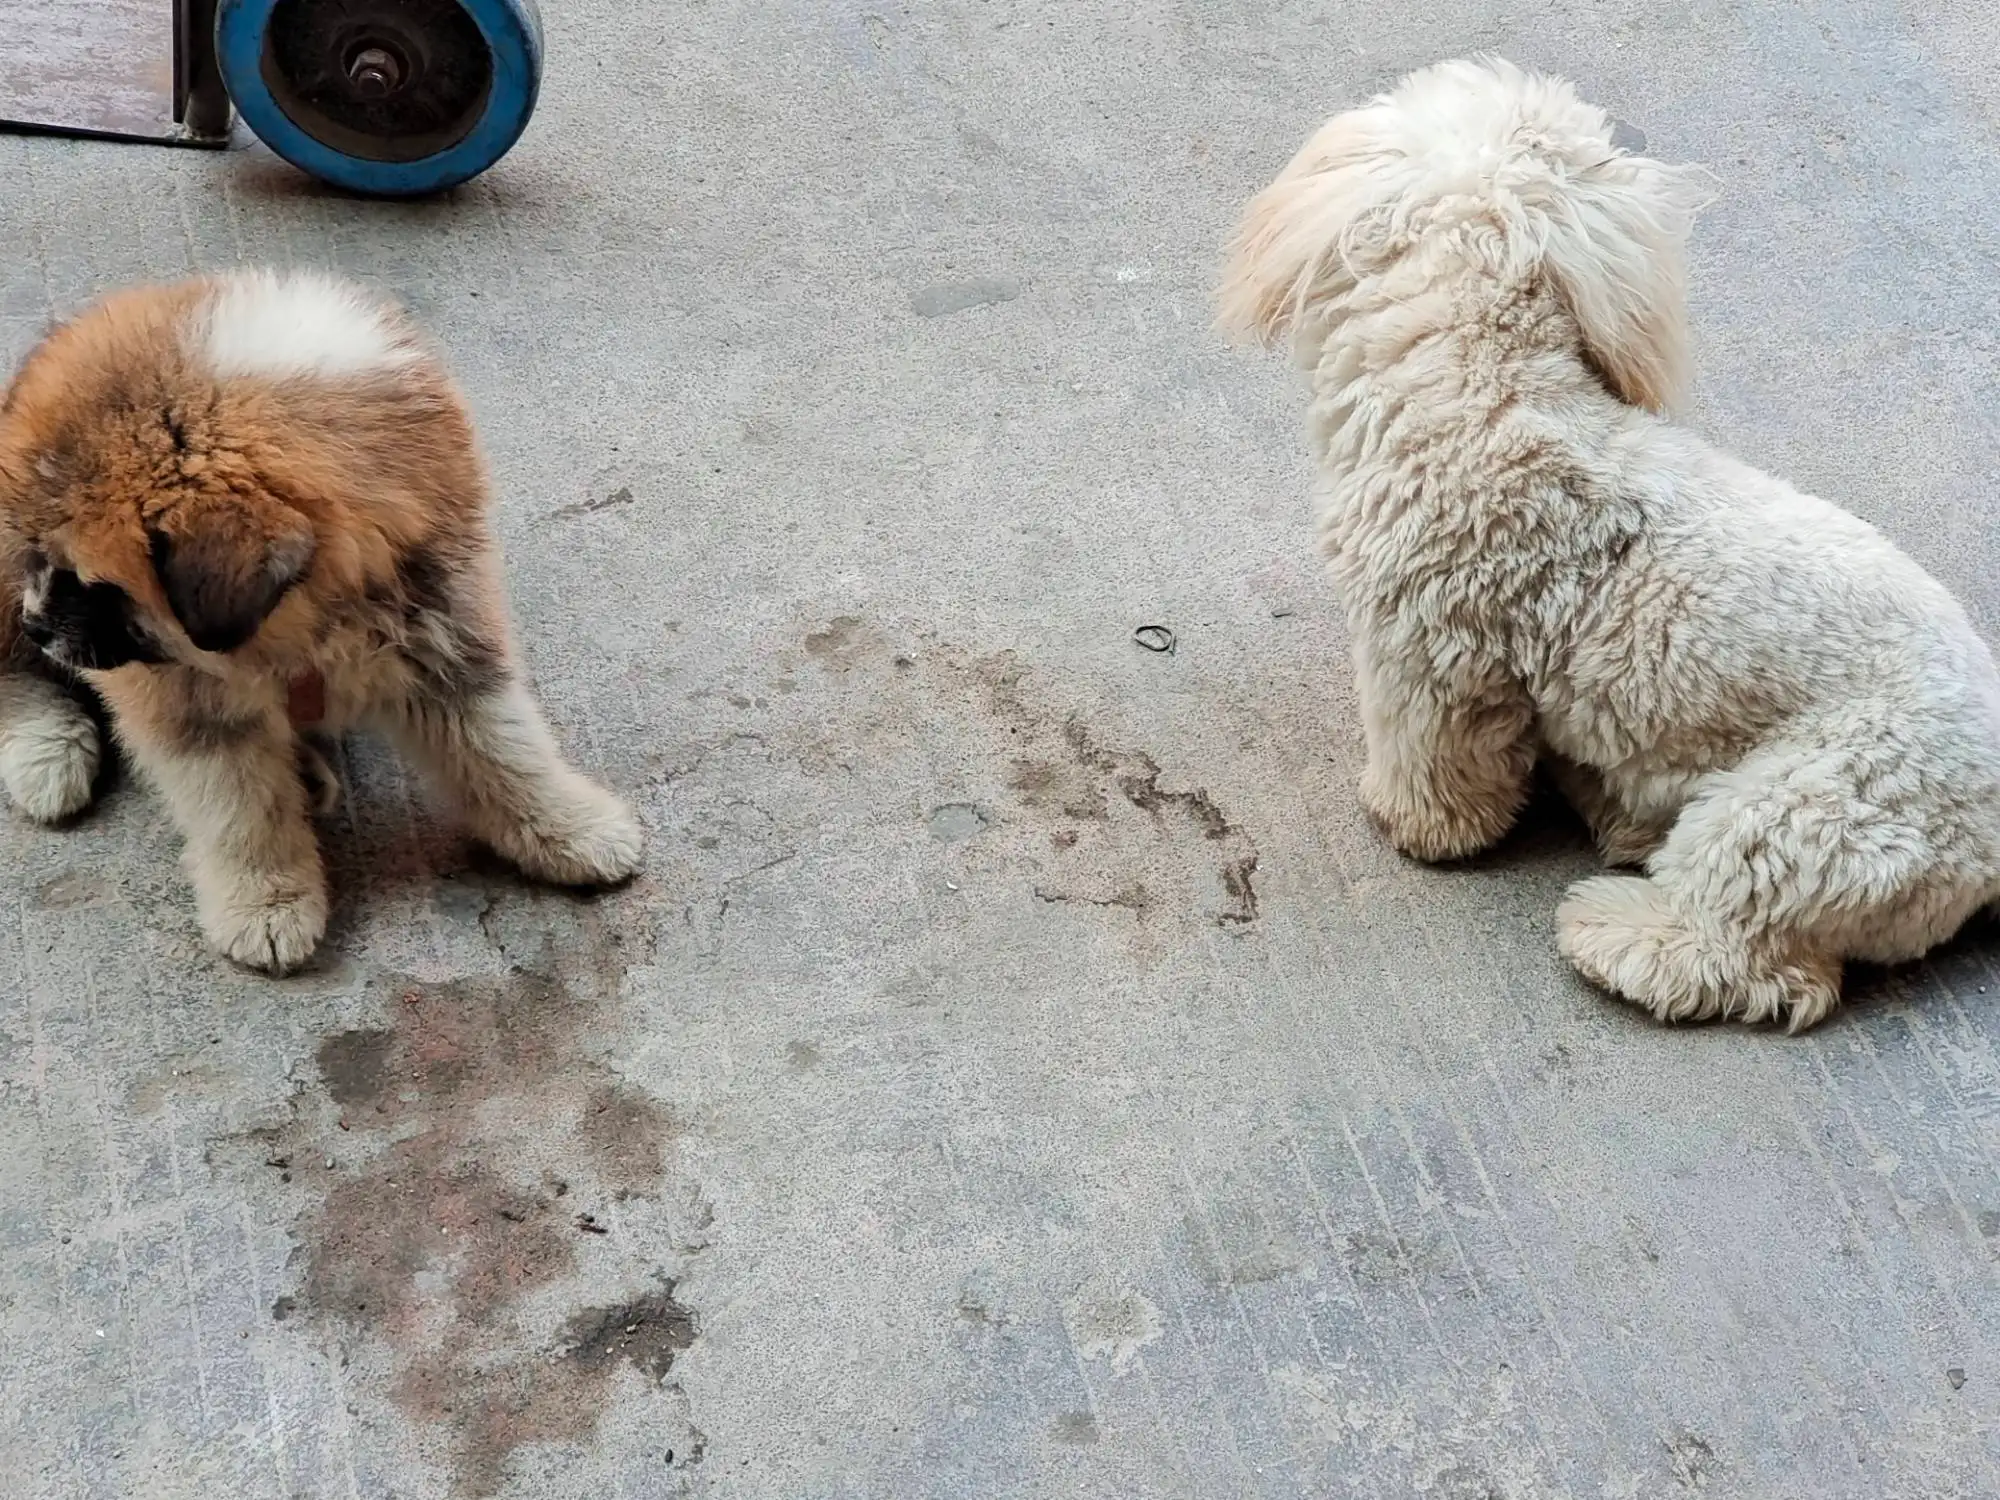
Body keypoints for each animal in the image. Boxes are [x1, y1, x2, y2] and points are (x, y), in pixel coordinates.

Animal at [0, 270, 640, 976]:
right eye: (48, 559)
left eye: (94, 583)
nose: (39, 627)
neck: (299, 628)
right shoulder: (186, 700)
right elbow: (239, 806)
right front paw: (266, 900)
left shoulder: (443, 633)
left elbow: (503, 748)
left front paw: (567, 828)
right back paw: (46, 750)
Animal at [1208, 53, 2000, 1032]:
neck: (1485, 394)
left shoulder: (1430, 651)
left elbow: (1438, 761)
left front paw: (1416, 824)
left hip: (1797, 812)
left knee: (1757, 960)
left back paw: (1617, 930)